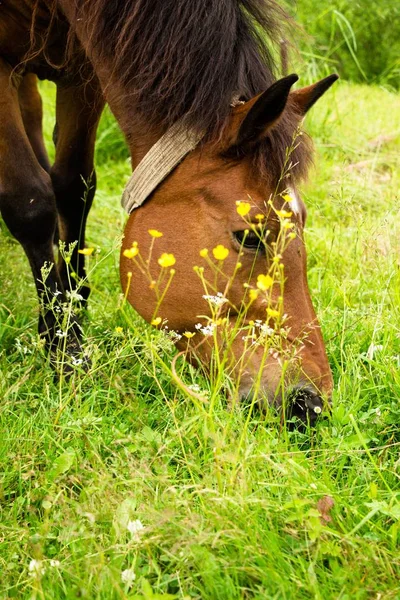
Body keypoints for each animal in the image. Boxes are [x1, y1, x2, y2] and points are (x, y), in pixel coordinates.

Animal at [0, 0, 338, 422]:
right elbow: (30, 203)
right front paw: (65, 349)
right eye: (250, 236)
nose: (310, 401)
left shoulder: (83, 73)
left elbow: (73, 186)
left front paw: (75, 308)